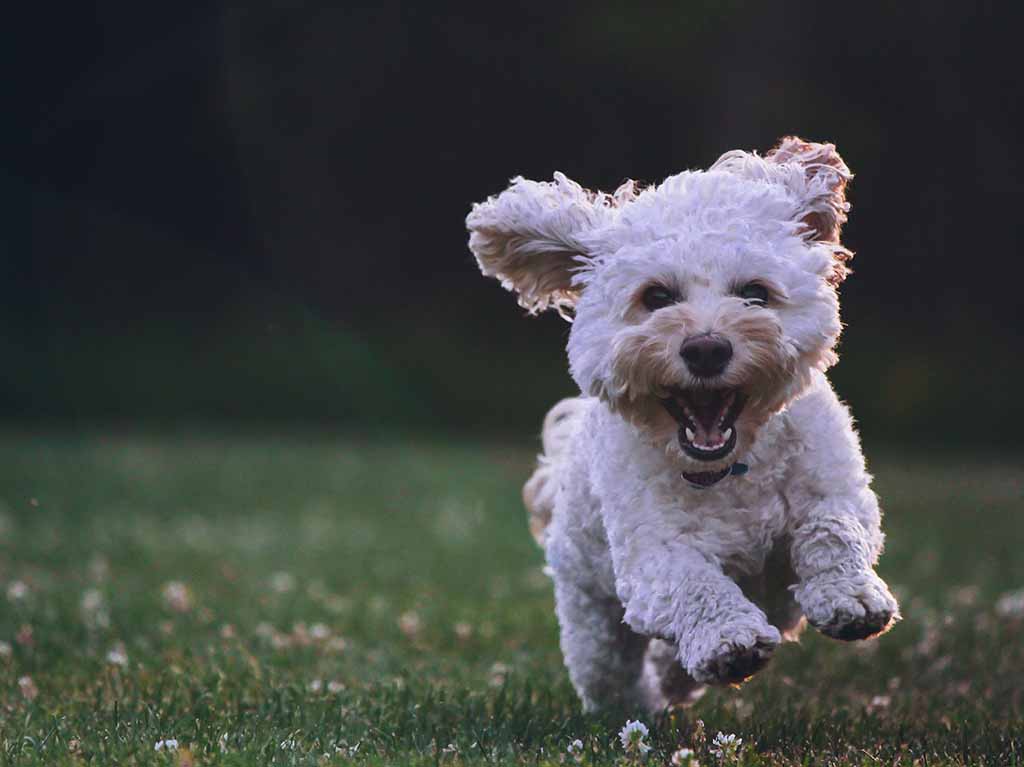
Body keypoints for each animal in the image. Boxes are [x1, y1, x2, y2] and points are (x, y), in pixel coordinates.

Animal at [468, 136, 901, 712]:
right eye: (656, 297)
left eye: (756, 293)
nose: (707, 348)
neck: (731, 469)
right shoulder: (652, 555)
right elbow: (693, 583)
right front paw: (728, 639)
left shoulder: (836, 487)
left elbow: (833, 527)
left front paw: (851, 597)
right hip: (590, 613)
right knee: (610, 670)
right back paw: (641, 704)